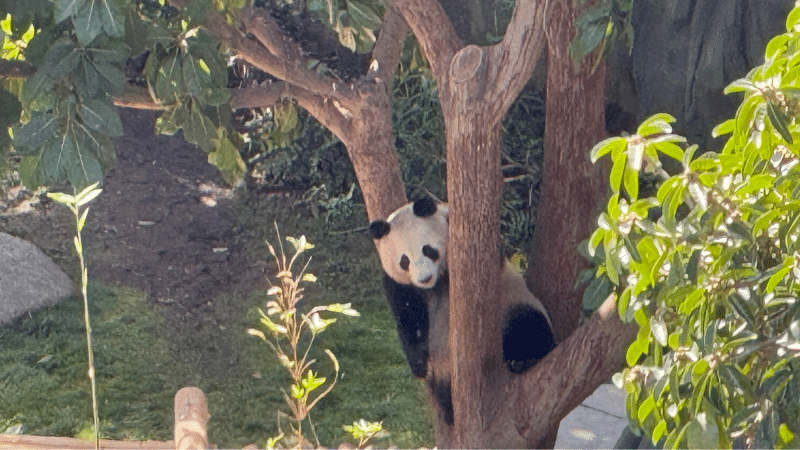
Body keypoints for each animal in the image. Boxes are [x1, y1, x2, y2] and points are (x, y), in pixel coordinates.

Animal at [369, 196, 557, 425]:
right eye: (404, 261)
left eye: (428, 250)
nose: (424, 278)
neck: (435, 285)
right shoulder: (400, 286)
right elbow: (409, 320)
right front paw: (418, 365)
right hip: (442, 368)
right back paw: (449, 410)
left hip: (513, 304)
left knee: (529, 326)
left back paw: (523, 361)